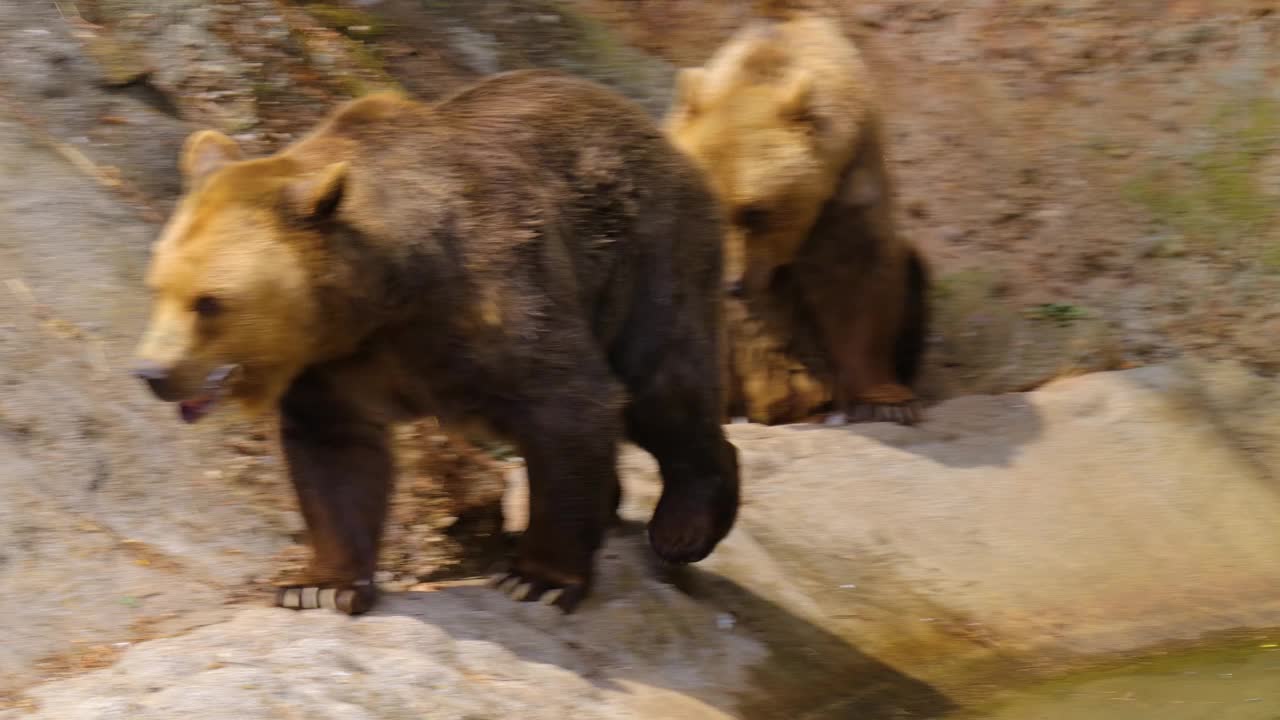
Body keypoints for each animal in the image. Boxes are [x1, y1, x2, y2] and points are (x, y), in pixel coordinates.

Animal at [129, 68, 742, 609]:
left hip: (647, 259)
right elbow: (335, 457)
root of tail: (671, 145)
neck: (385, 295)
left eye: (209, 302)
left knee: (662, 386)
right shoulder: (334, 363)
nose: (153, 373)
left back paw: (685, 527)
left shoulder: (497, 297)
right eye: (157, 287)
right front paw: (320, 585)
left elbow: (568, 403)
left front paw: (538, 579)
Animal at [665, 0, 926, 422]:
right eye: (708, 208)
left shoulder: (850, 182)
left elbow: (858, 276)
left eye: (755, 211)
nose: (731, 284)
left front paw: (885, 401)